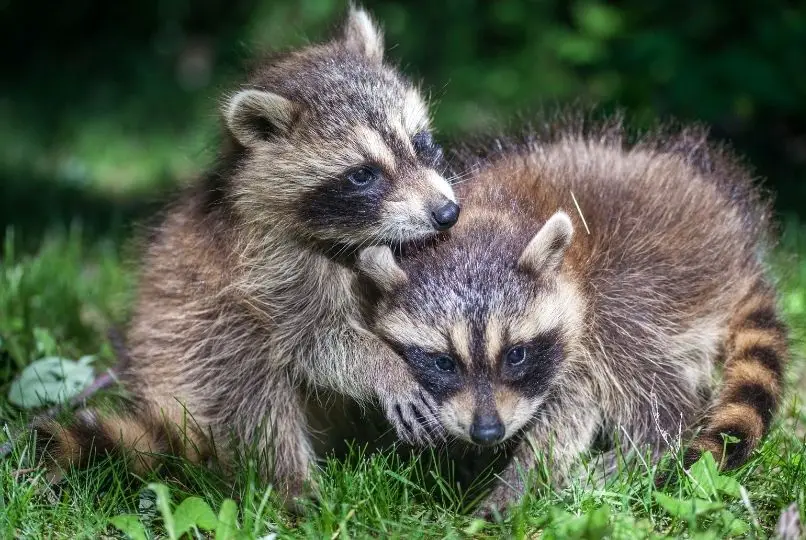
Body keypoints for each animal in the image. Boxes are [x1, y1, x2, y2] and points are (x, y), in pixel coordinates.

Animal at [31, 5, 458, 506]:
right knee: (249, 384)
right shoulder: (268, 264)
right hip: (193, 353)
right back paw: (294, 490)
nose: (447, 213)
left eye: (421, 141)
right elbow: (312, 341)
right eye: (362, 175)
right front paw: (384, 367)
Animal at [360, 118, 788, 516]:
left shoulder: (582, 320)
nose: (487, 432)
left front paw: (520, 481)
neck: (489, 217)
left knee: (646, 373)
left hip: (655, 276)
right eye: (443, 363)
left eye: (516, 355)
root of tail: (741, 252)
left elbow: (568, 415)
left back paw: (650, 445)